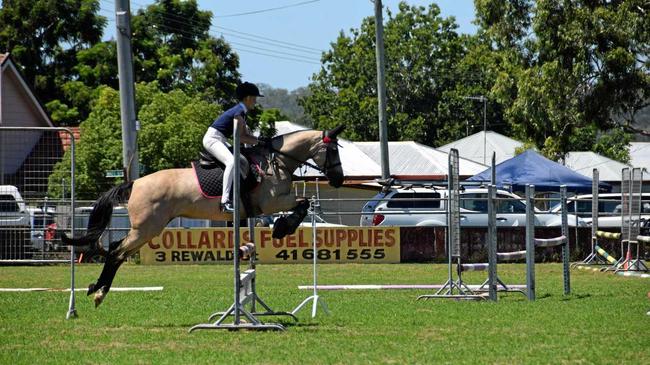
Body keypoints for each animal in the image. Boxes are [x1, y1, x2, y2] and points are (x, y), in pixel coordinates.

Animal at [62, 124, 344, 304]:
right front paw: (283, 227)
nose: (339, 180)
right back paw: (98, 291)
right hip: (146, 228)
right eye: (333, 150)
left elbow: (303, 203)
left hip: (146, 230)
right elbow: (302, 204)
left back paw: (97, 290)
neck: (277, 162)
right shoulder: (271, 202)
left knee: (117, 251)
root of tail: (135, 183)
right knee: (116, 252)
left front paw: (283, 227)